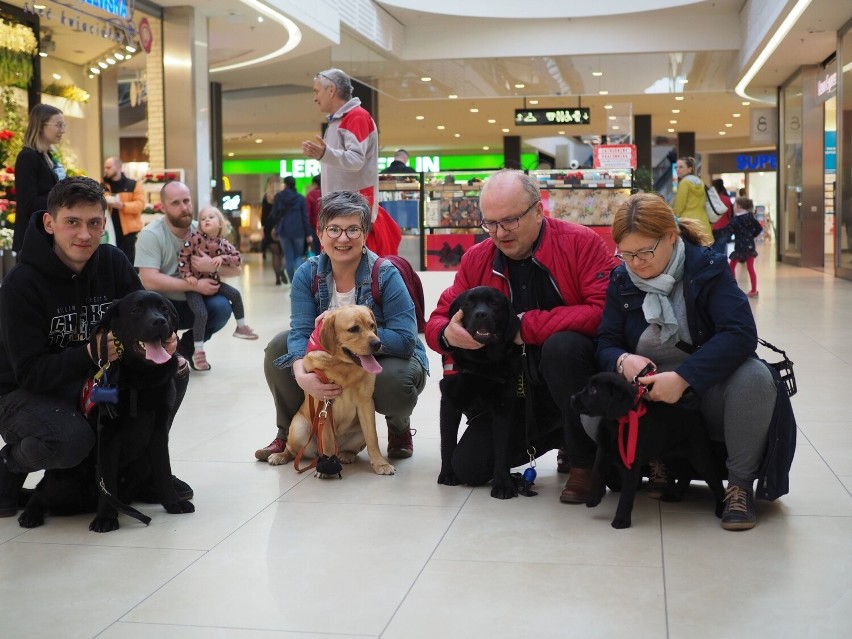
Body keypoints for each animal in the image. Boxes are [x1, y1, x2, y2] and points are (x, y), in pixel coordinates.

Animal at [18, 292, 195, 532]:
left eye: (164, 309)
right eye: (136, 310)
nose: (159, 321)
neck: (140, 378)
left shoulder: (158, 432)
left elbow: (163, 470)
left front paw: (173, 503)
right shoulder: (108, 436)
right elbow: (107, 480)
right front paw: (106, 518)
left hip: (140, 465)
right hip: (62, 482)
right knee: (38, 494)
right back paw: (31, 514)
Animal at [440, 284, 520, 500]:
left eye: (493, 303)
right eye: (468, 304)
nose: (481, 314)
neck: (481, 364)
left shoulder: (503, 407)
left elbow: (501, 448)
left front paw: (503, 485)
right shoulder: (449, 402)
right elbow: (447, 441)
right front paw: (447, 474)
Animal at [572, 372, 724, 528]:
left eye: (593, 390)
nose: (572, 398)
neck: (617, 423)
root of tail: (695, 411)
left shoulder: (631, 465)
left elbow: (627, 493)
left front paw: (621, 520)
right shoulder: (603, 451)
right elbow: (597, 472)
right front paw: (593, 498)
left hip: (700, 457)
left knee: (716, 482)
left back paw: (721, 508)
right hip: (672, 457)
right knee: (685, 475)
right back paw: (675, 495)